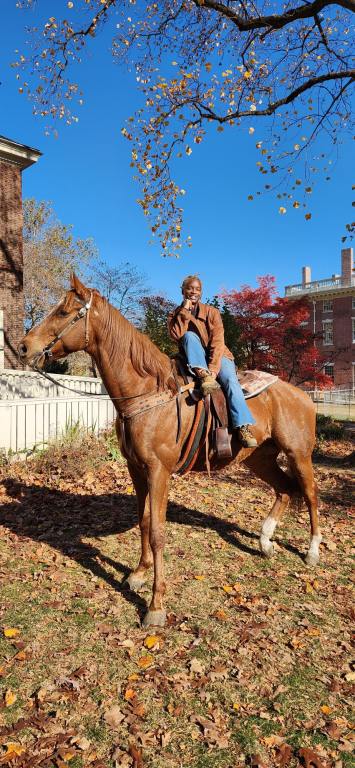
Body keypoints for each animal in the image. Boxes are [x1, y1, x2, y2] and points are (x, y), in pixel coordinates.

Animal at [18, 272, 322, 628]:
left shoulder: (159, 471)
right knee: (285, 490)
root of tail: (302, 396)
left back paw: (312, 551)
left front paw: (155, 605)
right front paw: (138, 574)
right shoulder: (136, 470)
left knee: (310, 495)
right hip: (259, 457)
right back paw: (265, 542)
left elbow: (158, 532)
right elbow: (144, 522)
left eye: (65, 312)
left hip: (299, 455)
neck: (147, 392)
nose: (24, 346)